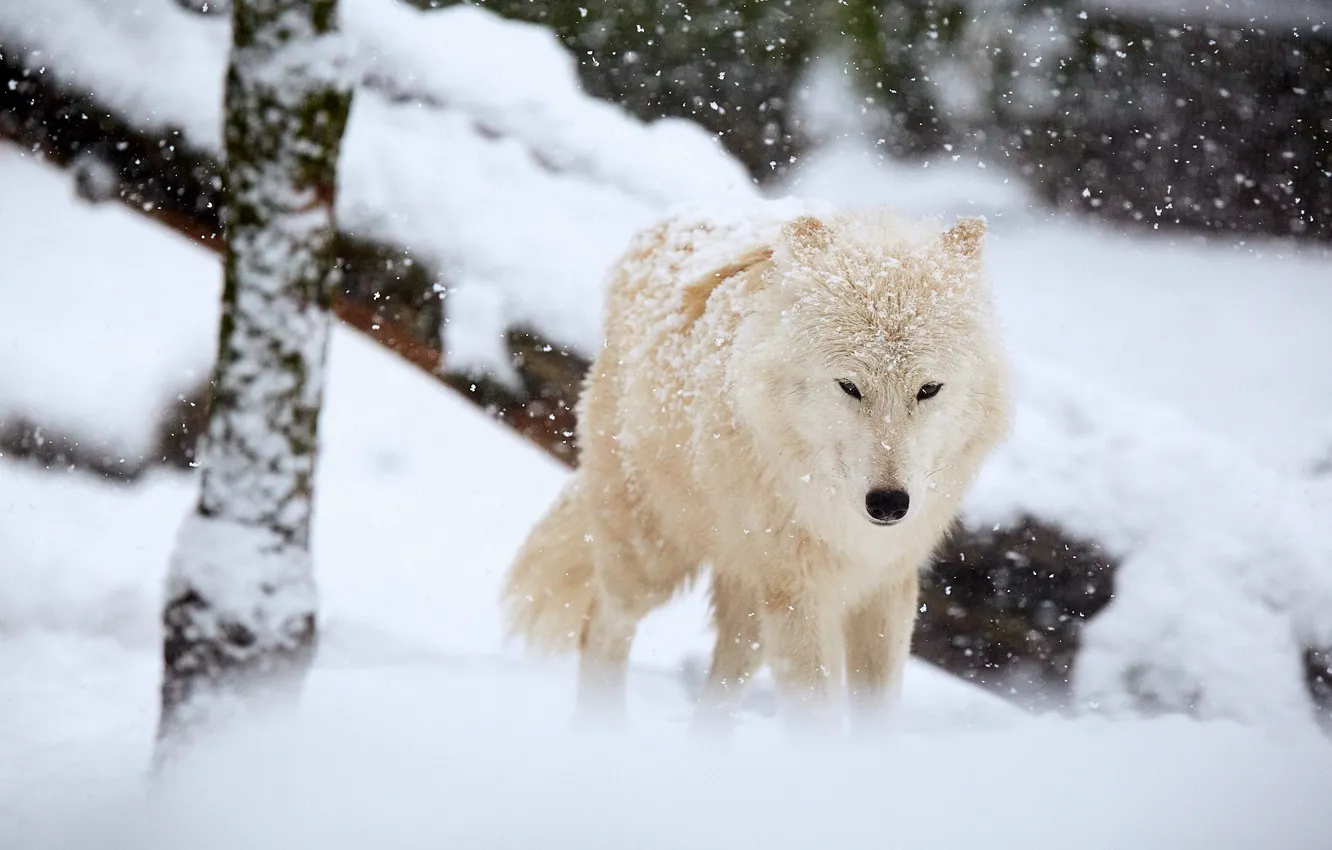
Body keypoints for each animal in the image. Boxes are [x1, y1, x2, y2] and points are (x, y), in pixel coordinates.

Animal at [501, 203, 1013, 735]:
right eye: (849, 387)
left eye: (928, 389)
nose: (890, 504)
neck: (842, 525)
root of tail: (660, 227)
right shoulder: (799, 593)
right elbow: (816, 723)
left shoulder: (885, 586)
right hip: (654, 557)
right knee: (601, 627)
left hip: (748, 601)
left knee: (722, 684)